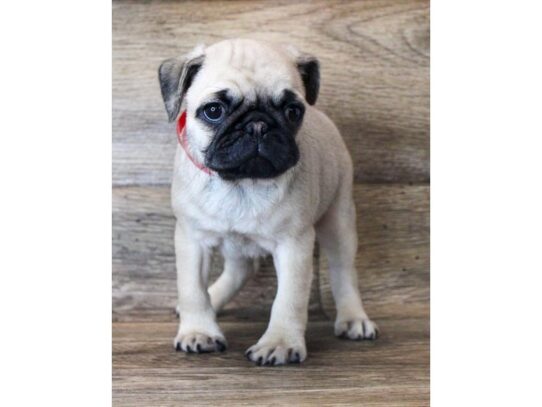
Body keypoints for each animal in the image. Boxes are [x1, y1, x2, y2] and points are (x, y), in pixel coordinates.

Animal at [157, 39, 378, 368]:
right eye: (213, 111)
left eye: (292, 111)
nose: (258, 125)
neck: (241, 182)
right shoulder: (191, 239)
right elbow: (193, 289)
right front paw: (199, 331)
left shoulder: (294, 246)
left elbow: (289, 299)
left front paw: (280, 343)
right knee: (239, 270)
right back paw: (213, 298)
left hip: (338, 218)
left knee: (343, 271)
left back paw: (353, 319)